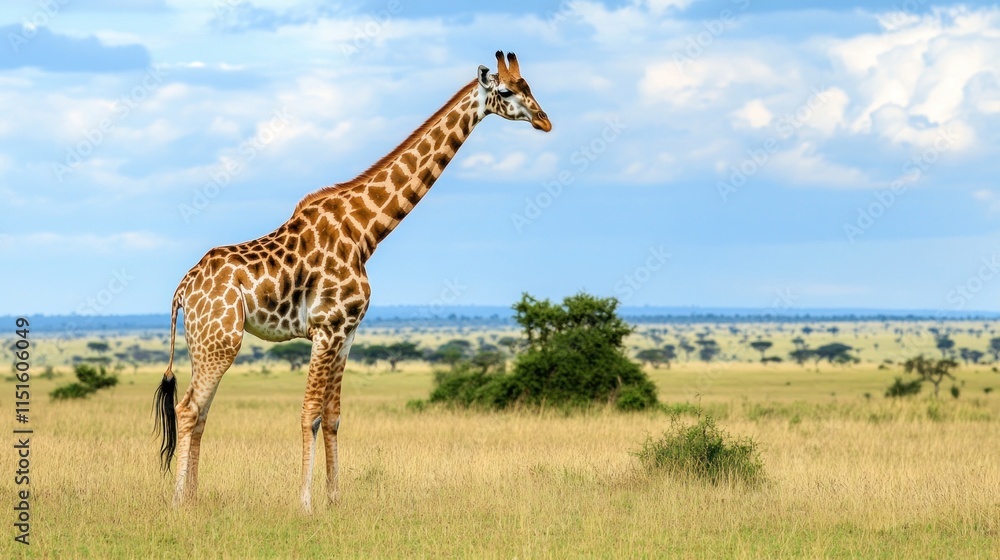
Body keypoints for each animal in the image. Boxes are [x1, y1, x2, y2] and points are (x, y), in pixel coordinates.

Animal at [153, 51, 551, 512]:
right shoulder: (326, 327)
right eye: (505, 91)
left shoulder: (347, 332)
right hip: (219, 340)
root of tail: (183, 289)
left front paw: (335, 499)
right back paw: (178, 502)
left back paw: (194, 498)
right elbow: (309, 413)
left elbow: (333, 417)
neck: (365, 231)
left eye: (529, 86)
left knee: (201, 412)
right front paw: (305, 504)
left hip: (208, 342)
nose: (545, 121)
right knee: (188, 409)